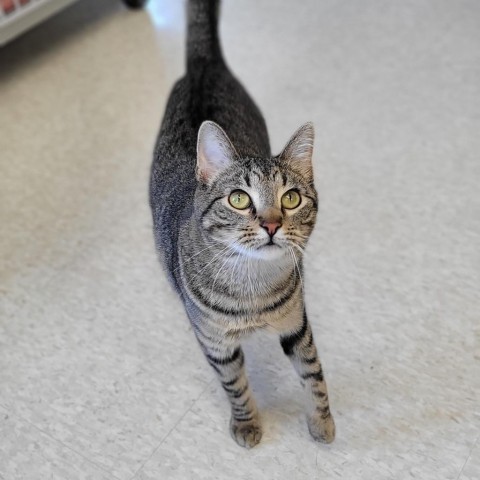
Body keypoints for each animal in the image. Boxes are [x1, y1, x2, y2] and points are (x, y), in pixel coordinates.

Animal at [149, 0, 334, 450]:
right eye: (238, 199)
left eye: (290, 198)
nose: (271, 225)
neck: (251, 287)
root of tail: (203, 63)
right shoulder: (215, 344)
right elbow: (234, 385)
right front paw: (247, 423)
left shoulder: (297, 325)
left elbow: (314, 374)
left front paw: (322, 421)